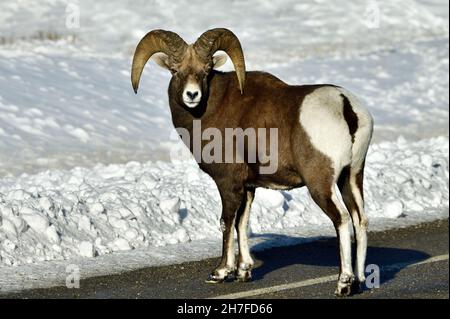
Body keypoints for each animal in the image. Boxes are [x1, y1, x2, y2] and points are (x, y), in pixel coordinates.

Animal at [132, 28, 374, 298]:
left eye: (206, 70)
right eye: (175, 70)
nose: (192, 95)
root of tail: (346, 108)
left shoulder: (228, 184)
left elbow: (226, 223)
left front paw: (221, 272)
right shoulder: (248, 187)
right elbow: (242, 222)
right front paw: (243, 272)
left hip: (321, 184)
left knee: (341, 219)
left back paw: (343, 283)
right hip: (351, 177)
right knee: (360, 219)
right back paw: (359, 280)